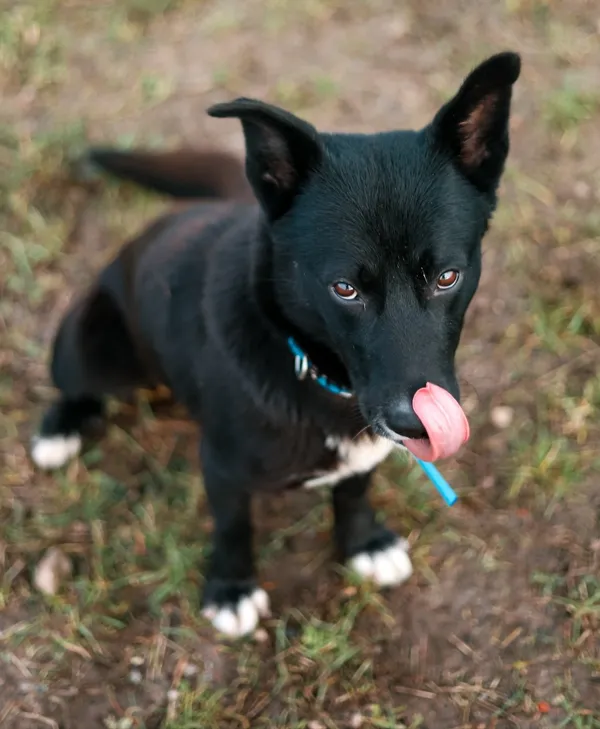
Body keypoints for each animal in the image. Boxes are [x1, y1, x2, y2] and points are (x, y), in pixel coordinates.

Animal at [32, 51, 520, 636]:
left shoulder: (365, 452)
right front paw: (231, 587)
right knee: (73, 384)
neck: (312, 365)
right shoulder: (221, 466)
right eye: (344, 288)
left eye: (447, 277)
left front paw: (363, 543)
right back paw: (59, 429)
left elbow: (353, 489)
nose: (415, 424)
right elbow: (233, 526)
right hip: (89, 345)